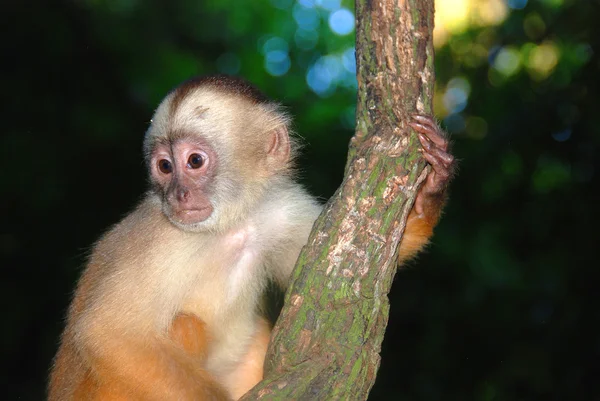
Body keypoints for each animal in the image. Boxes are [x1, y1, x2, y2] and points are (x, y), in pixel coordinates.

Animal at [49, 74, 454, 396]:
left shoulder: (279, 211)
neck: (230, 226)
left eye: (194, 161)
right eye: (164, 167)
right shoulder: (162, 236)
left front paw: (431, 184)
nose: (178, 195)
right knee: (185, 325)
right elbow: (107, 334)